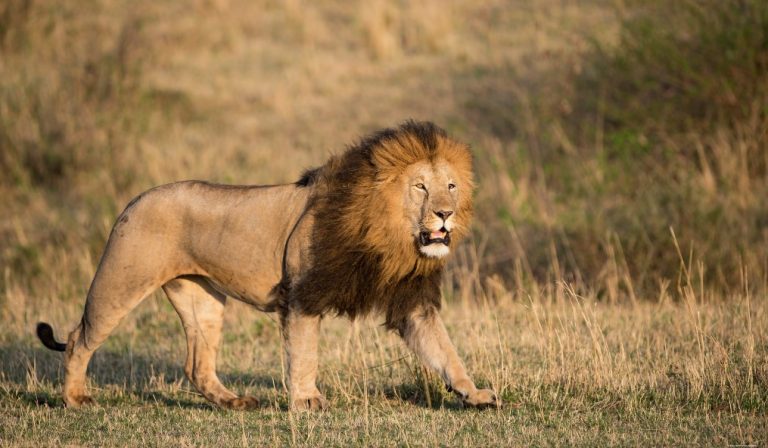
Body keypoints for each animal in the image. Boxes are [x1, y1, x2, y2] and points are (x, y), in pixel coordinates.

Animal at [37, 120, 499, 411]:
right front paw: (307, 401)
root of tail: (134, 199)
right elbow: (304, 353)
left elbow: (445, 351)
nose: (444, 214)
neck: (388, 236)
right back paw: (75, 399)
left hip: (202, 298)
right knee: (78, 339)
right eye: (420, 186)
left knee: (197, 366)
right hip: (121, 280)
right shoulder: (302, 294)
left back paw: (235, 403)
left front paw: (474, 393)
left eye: (451, 186)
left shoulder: (412, 303)